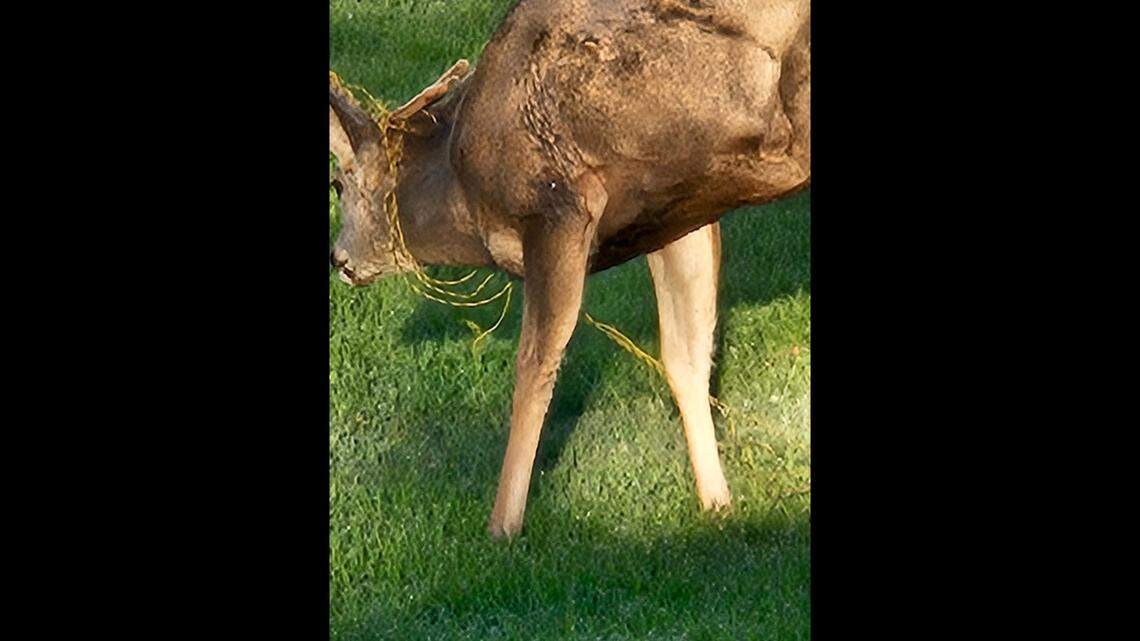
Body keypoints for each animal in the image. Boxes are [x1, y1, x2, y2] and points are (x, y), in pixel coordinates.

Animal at [329, 0, 810, 538]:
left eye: (336, 184)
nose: (339, 259)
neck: (466, 192)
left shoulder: (558, 207)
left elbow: (535, 365)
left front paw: (502, 525)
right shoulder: (678, 212)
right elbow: (685, 357)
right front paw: (717, 504)